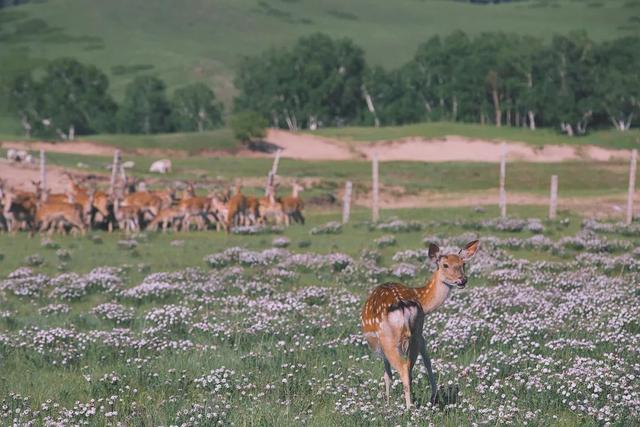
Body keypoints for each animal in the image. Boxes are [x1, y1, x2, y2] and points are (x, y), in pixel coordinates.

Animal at [362, 239, 478, 410]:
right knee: (411, 367)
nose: (462, 280)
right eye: (445, 265)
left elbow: (387, 374)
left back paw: (409, 408)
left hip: (389, 340)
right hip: (414, 334)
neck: (422, 299)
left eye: (463, 263)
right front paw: (434, 395)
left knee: (403, 368)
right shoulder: (422, 331)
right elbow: (428, 360)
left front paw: (387, 402)